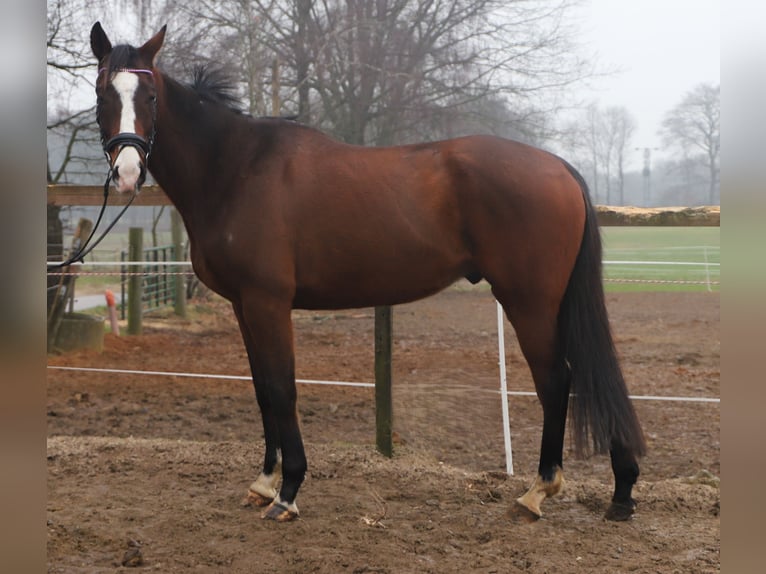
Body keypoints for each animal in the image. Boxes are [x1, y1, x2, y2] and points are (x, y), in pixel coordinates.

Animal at [89, 22, 646, 523]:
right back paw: (620, 490)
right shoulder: (244, 306)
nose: (128, 172)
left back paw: (538, 491)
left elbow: (282, 388)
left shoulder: (268, 302)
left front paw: (288, 493)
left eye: (151, 95)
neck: (236, 168)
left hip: (529, 302)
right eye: (101, 92)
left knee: (556, 380)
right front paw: (264, 482)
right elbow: (262, 388)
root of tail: (560, 168)